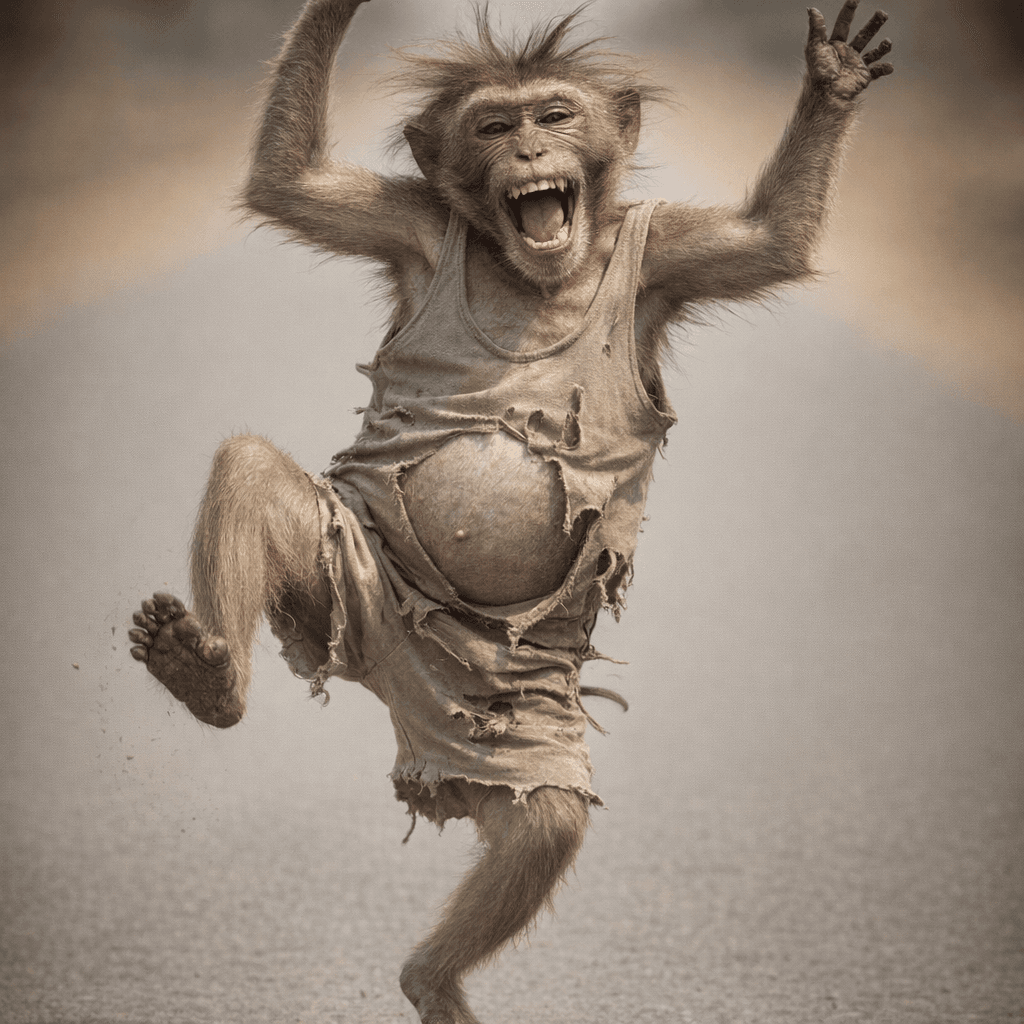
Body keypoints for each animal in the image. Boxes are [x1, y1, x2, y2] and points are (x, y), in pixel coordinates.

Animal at [127, 3, 894, 1022]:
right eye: (494, 127)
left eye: (556, 115)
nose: (529, 146)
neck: (540, 274)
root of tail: (397, 682)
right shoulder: (418, 230)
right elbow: (291, 182)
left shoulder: (666, 259)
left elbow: (769, 238)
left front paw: (834, 76)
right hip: (357, 589)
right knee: (250, 470)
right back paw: (208, 675)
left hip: (507, 720)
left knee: (546, 821)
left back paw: (432, 977)